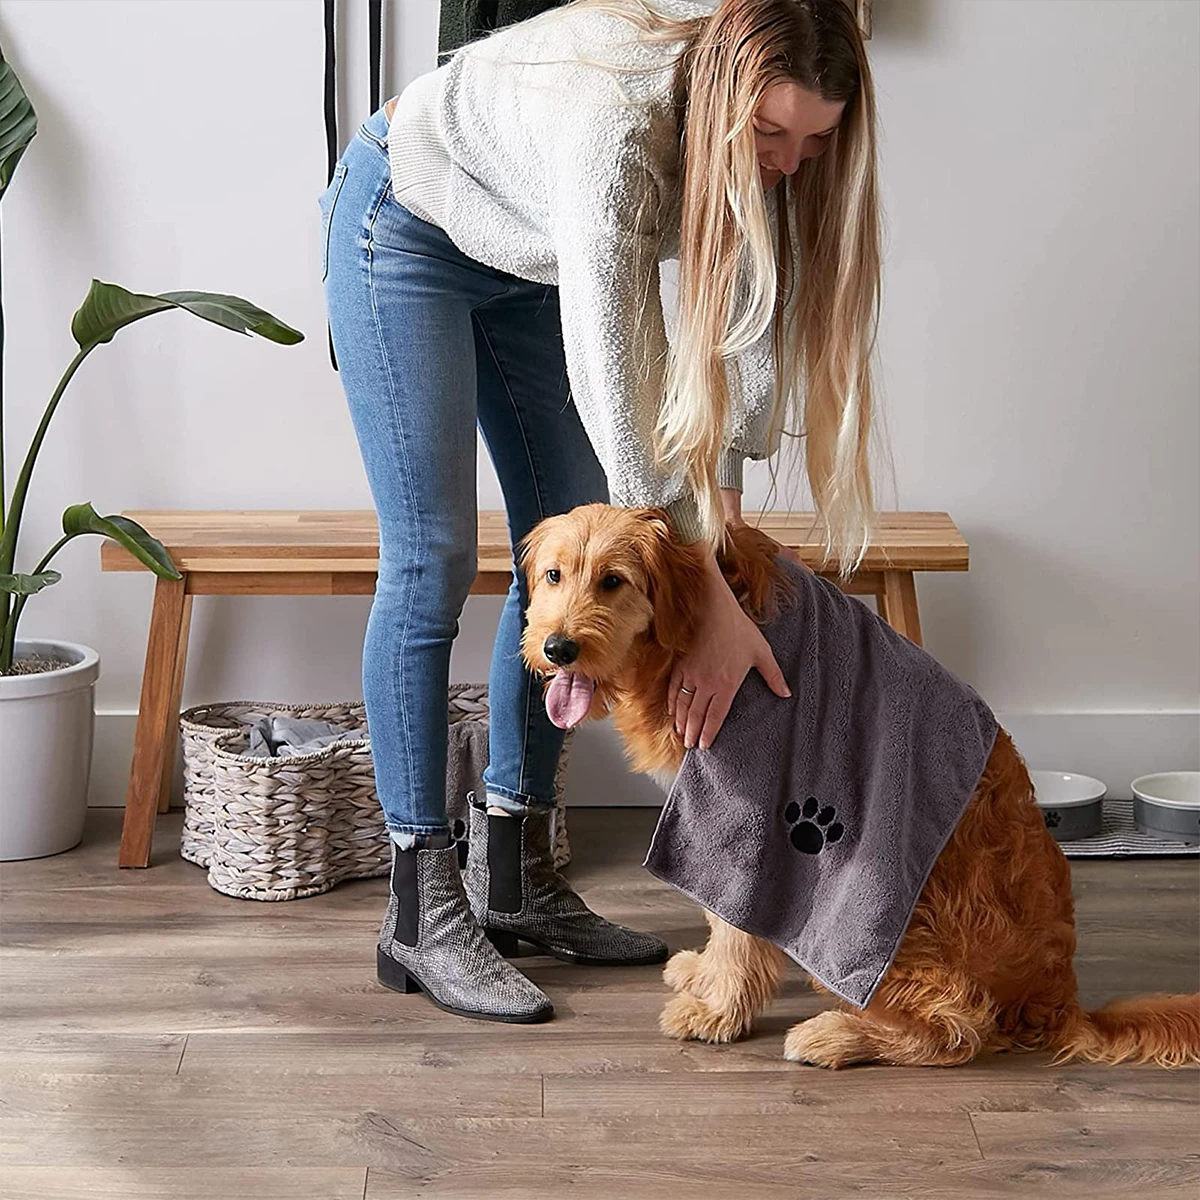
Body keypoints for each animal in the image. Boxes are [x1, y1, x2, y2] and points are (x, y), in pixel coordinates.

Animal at [523, 501, 1200, 1065]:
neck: (703, 624)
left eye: (614, 580)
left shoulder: (746, 809)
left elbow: (738, 924)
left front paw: (719, 1012)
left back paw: (836, 1034)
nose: (557, 649)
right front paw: (706, 975)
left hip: (903, 918)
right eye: (554, 576)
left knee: (958, 1030)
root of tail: (1059, 998)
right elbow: (722, 923)